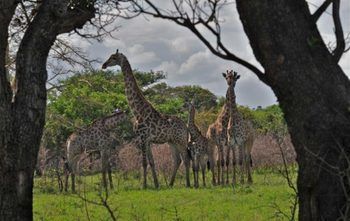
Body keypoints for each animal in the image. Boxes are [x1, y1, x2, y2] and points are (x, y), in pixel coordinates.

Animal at [101, 50, 190, 188]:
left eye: (113, 58)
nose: (104, 65)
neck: (137, 111)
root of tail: (185, 126)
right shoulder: (147, 140)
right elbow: (151, 162)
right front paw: (156, 184)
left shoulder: (142, 137)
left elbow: (144, 162)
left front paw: (144, 185)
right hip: (172, 141)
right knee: (178, 160)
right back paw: (170, 184)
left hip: (180, 140)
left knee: (185, 159)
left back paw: (189, 184)